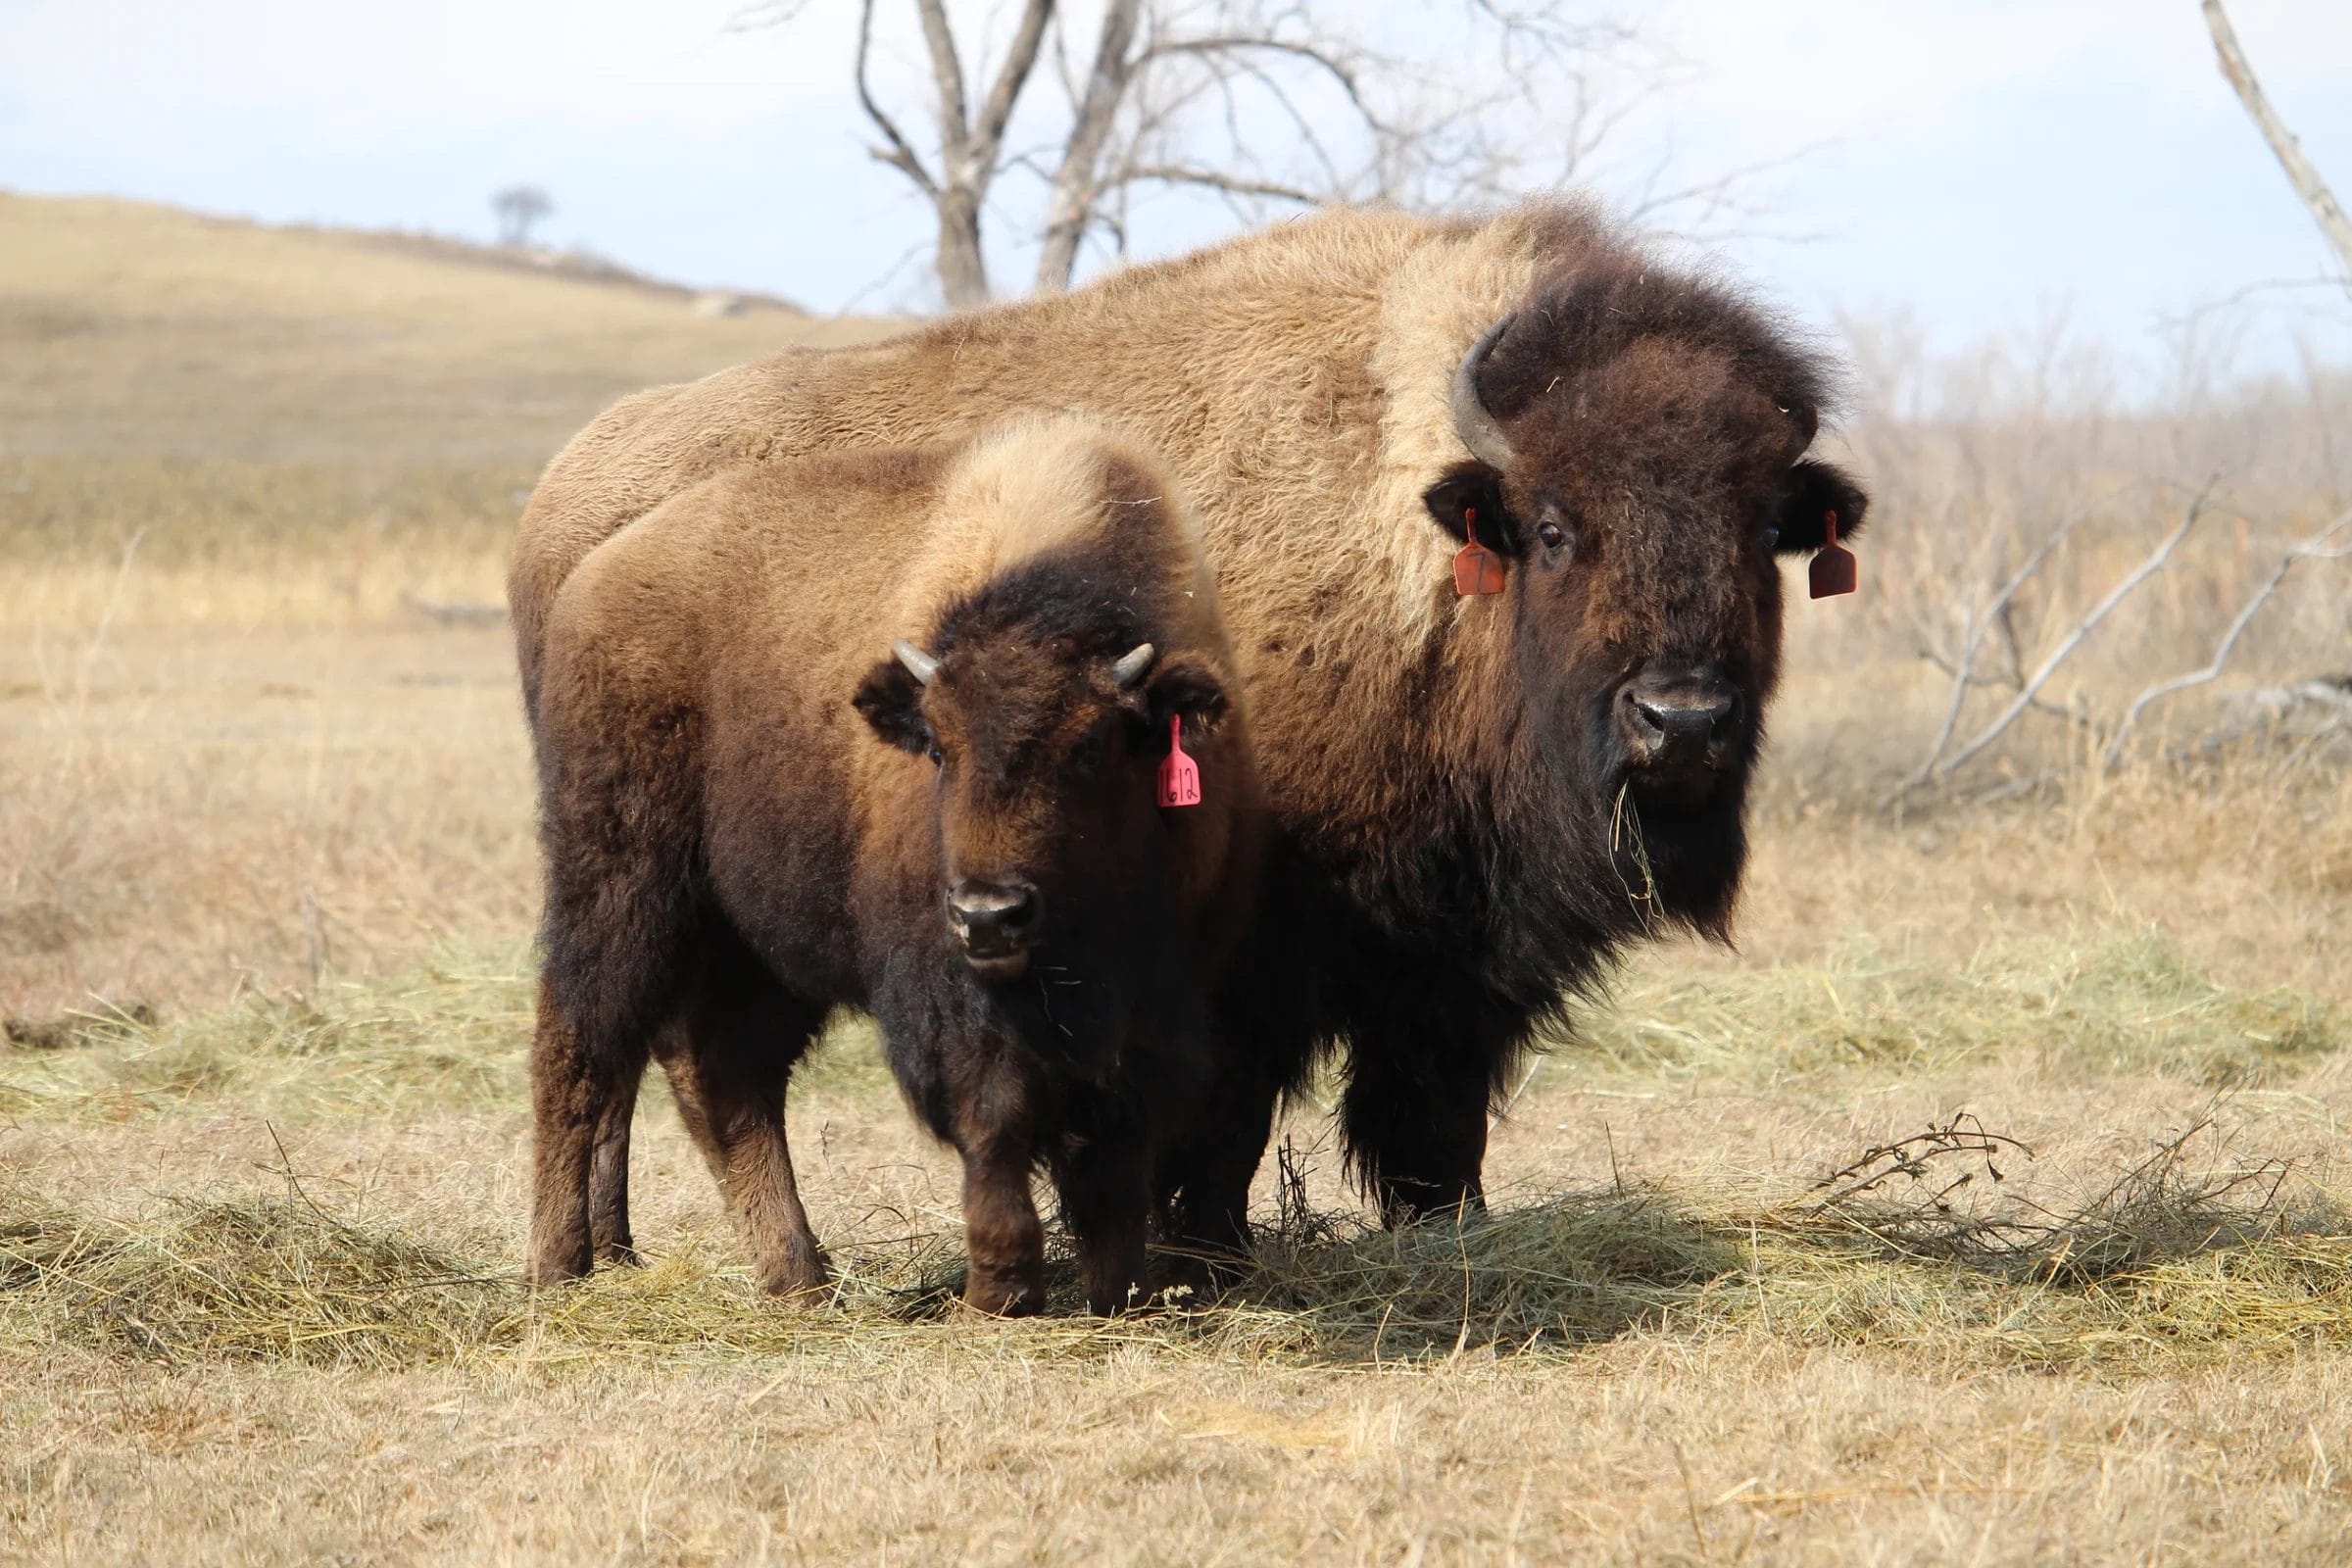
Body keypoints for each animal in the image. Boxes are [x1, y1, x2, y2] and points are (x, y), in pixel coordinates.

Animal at [526, 417, 1259, 1314]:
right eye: (938, 749)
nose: (990, 916)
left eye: (1091, 748)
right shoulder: (948, 990)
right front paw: (1000, 1293)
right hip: (620, 885)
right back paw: (558, 1269)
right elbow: (996, 1121)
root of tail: (595, 577)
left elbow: (1115, 1149)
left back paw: (799, 1278)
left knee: (727, 1077)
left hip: (753, 946)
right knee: (577, 1046)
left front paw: (1123, 1293)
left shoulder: (1160, 994)